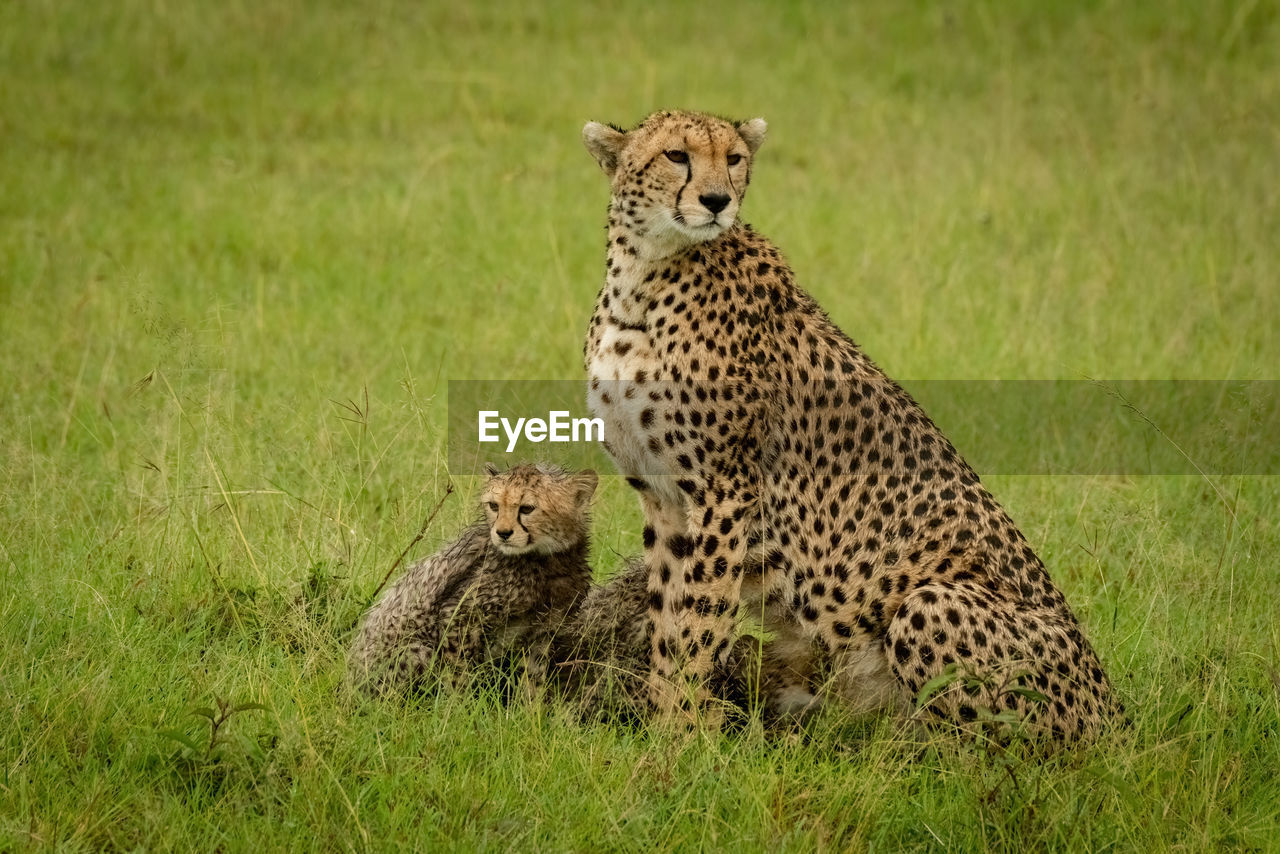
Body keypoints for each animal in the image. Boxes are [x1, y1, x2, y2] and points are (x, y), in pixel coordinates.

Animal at [581, 110, 1121, 737]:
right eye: (676, 156)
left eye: (733, 159)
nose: (717, 200)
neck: (643, 275)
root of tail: (1118, 713)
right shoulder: (664, 497)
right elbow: (669, 619)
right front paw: (667, 725)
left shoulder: (724, 490)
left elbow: (698, 620)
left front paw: (685, 735)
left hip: (928, 604)